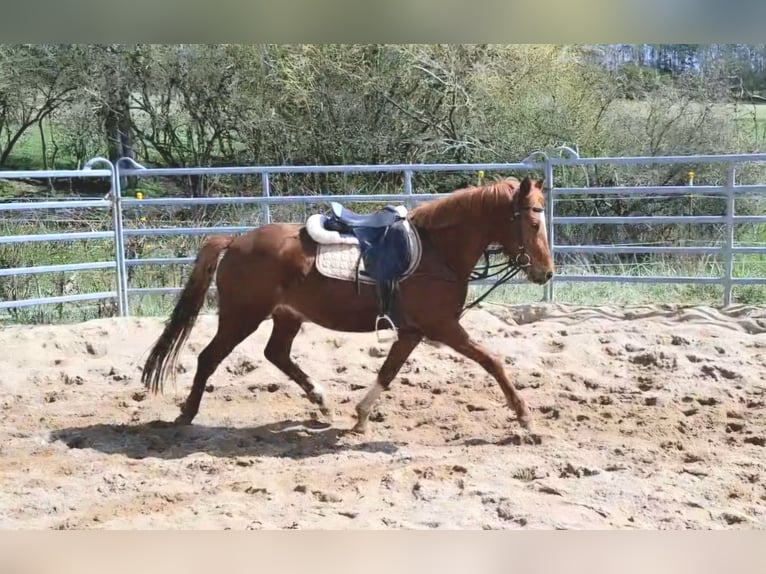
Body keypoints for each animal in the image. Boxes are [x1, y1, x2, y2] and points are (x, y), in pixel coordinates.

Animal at [140, 176, 554, 435]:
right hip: (242, 317)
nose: (546, 273)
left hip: (286, 316)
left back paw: (321, 401)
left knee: (277, 354)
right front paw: (525, 417)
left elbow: (388, 372)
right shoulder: (442, 327)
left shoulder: (412, 332)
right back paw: (187, 414)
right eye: (534, 223)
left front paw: (361, 416)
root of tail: (235, 242)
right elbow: (492, 361)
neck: (438, 251)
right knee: (209, 357)